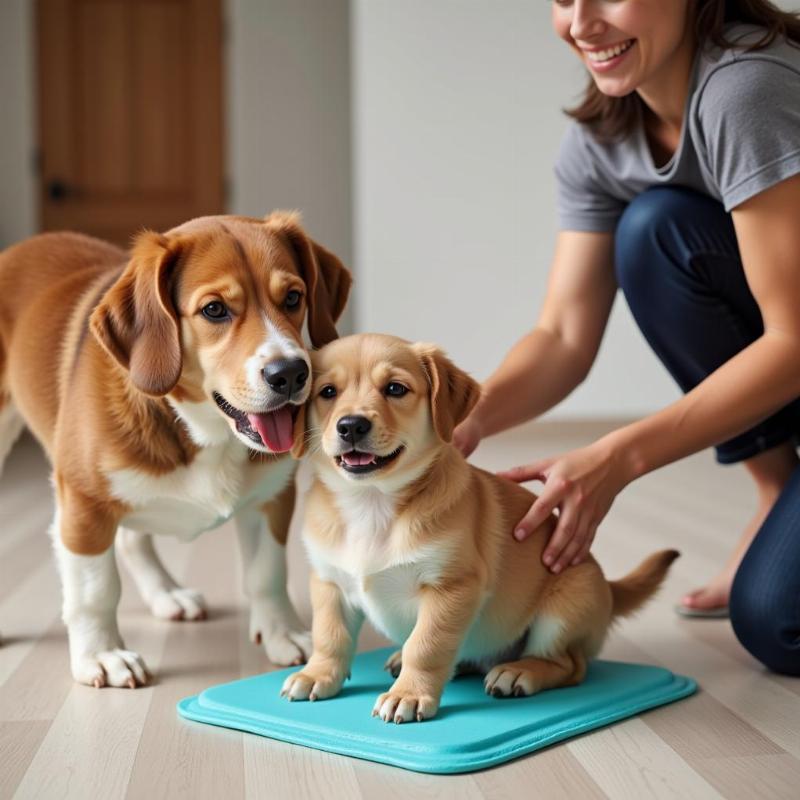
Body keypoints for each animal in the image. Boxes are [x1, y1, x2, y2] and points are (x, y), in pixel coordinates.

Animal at [0, 212, 350, 688]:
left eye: (293, 297)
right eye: (214, 309)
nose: (292, 373)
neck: (206, 430)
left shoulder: (272, 499)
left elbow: (267, 572)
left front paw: (282, 632)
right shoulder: (84, 504)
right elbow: (94, 589)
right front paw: (102, 653)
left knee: (132, 538)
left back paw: (166, 592)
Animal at [284, 334, 680, 720]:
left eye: (395, 389)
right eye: (327, 392)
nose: (351, 425)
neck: (371, 502)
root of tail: (609, 587)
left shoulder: (452, 587)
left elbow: (425, 646)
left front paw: (408, 695)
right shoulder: (329, 583)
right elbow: (329, 636)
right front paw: (317, 674)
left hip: (564, 610)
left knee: (570, 665)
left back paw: (520, 672)